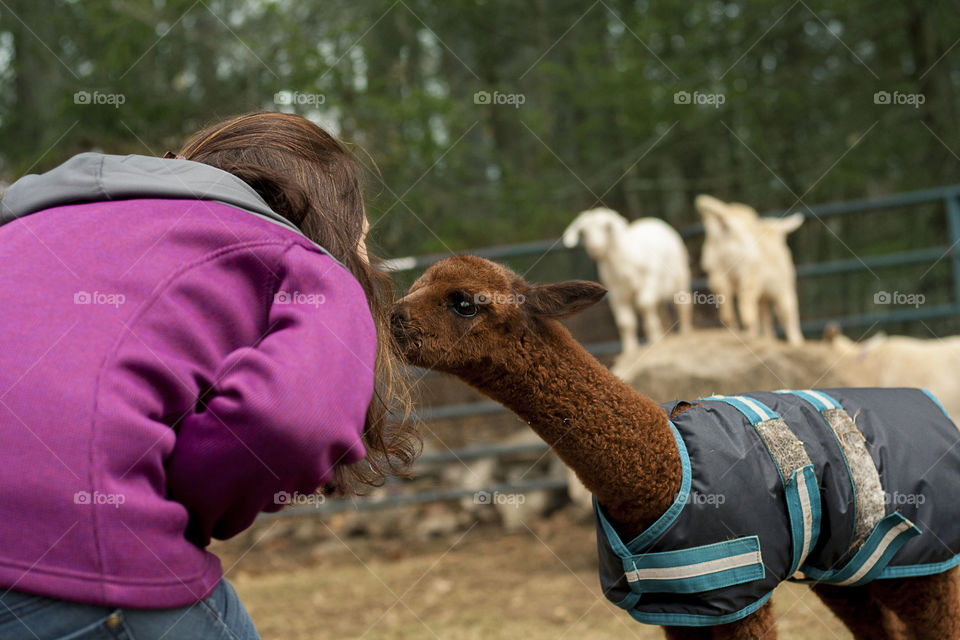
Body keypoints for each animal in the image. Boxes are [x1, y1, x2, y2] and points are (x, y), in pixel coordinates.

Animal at [564, 209, 688, 350]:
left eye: (607, 227)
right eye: (584, 232)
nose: (594, 248)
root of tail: (652, 220)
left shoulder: (650, 280)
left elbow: (644, 305)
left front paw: (654, 339)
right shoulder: (616, 293)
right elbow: (625, 322)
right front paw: (630, 349)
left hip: (680, 275)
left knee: (682, 305)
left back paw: (684, 332)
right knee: (661, 311)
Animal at [692, 195, 808, 344]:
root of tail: (727, 223)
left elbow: (765, 316)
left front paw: (769, 338)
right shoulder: (784, 287)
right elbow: (787, 313)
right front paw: (797, 342)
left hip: (716, 269)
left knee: (727, 302)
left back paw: (734, 331)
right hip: (748, 270)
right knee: (747, 303)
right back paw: (750, 334)